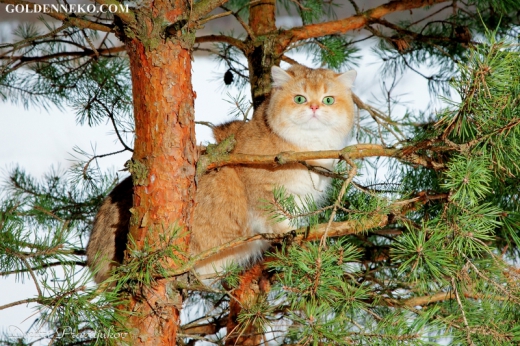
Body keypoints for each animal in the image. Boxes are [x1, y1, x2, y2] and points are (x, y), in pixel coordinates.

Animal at [87, 63, 356, 282]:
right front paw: (291, 238)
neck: (309, 149)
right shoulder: (261, 191)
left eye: (329, 99)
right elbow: (276, 219)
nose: (314, 106)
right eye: (299, 98)